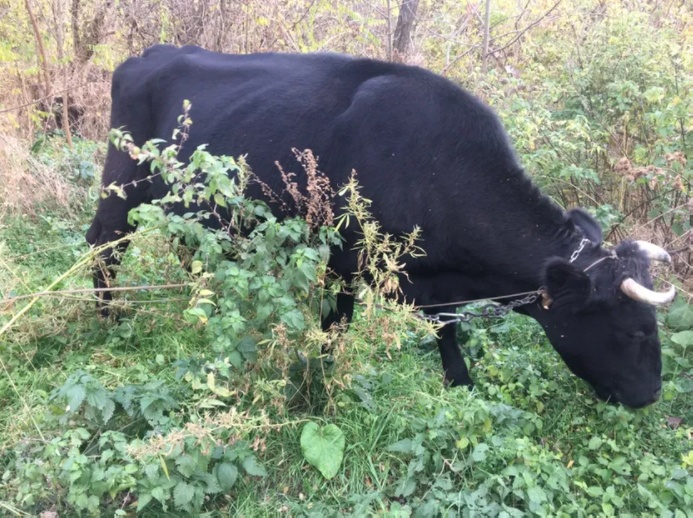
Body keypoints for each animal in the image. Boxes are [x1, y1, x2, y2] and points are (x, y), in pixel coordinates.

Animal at [88, 45, 676, 410]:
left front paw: (460, 383)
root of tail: (151, 54)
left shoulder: (434, 286)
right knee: (104, 244)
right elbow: (336, 325)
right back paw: (109, 320)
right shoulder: (341, 256)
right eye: (635, 331)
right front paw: (324, 380)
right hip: (123, 178)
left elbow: (447, 332)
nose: (650, 397)